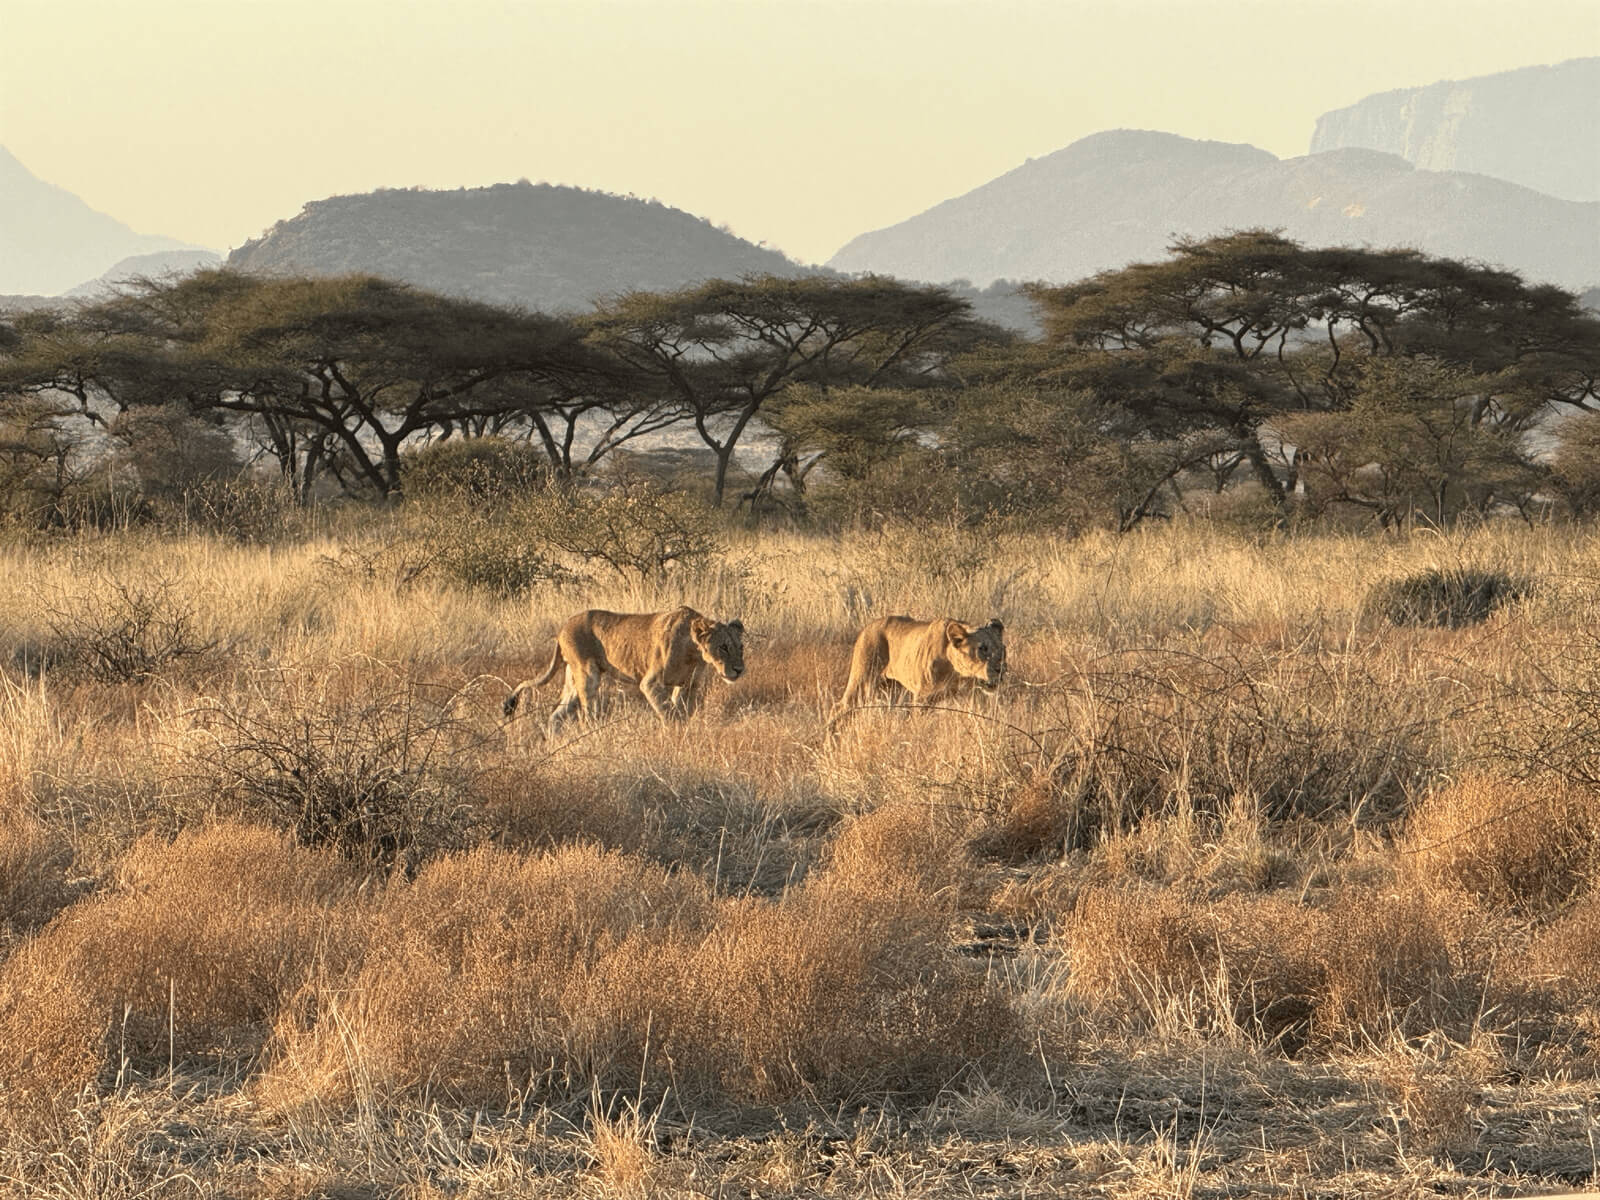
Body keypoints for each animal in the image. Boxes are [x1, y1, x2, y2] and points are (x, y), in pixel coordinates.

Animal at [503, 606, 745, 737]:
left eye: (740, 647)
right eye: (723, 647)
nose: (739, 670)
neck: (693, 653)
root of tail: (563, 627)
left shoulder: (690, 685)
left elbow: (684, 711)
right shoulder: (651, 682)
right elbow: (668, 711)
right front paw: (673, 731)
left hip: (572, 678)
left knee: (556, 714)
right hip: (588, 673)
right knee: (587, 714)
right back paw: (594, 735)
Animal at [830, 616, 1006, 727]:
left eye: (1003, 649)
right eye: (983, 648)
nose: (1001, 669)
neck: (959, 675)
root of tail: (867, 628)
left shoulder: (972, 698)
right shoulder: (923, 698)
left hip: (893, 691)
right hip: (863, 682)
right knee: (839, 707)